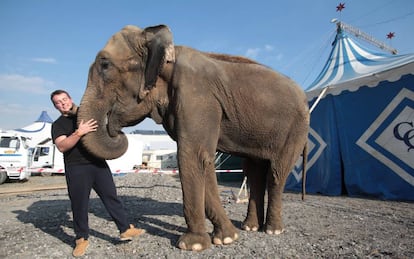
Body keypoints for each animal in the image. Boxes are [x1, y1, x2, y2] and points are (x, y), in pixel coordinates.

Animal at [79, 24, 308, 252]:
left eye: (105, 65)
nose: (115, 130)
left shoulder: (197, 97)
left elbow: (192, 156)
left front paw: (192, 245)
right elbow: (203, 159)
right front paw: (227, 238)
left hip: (296, 130)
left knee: (276, 173)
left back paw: (272, 230)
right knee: (254, 171)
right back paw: (250, 227)